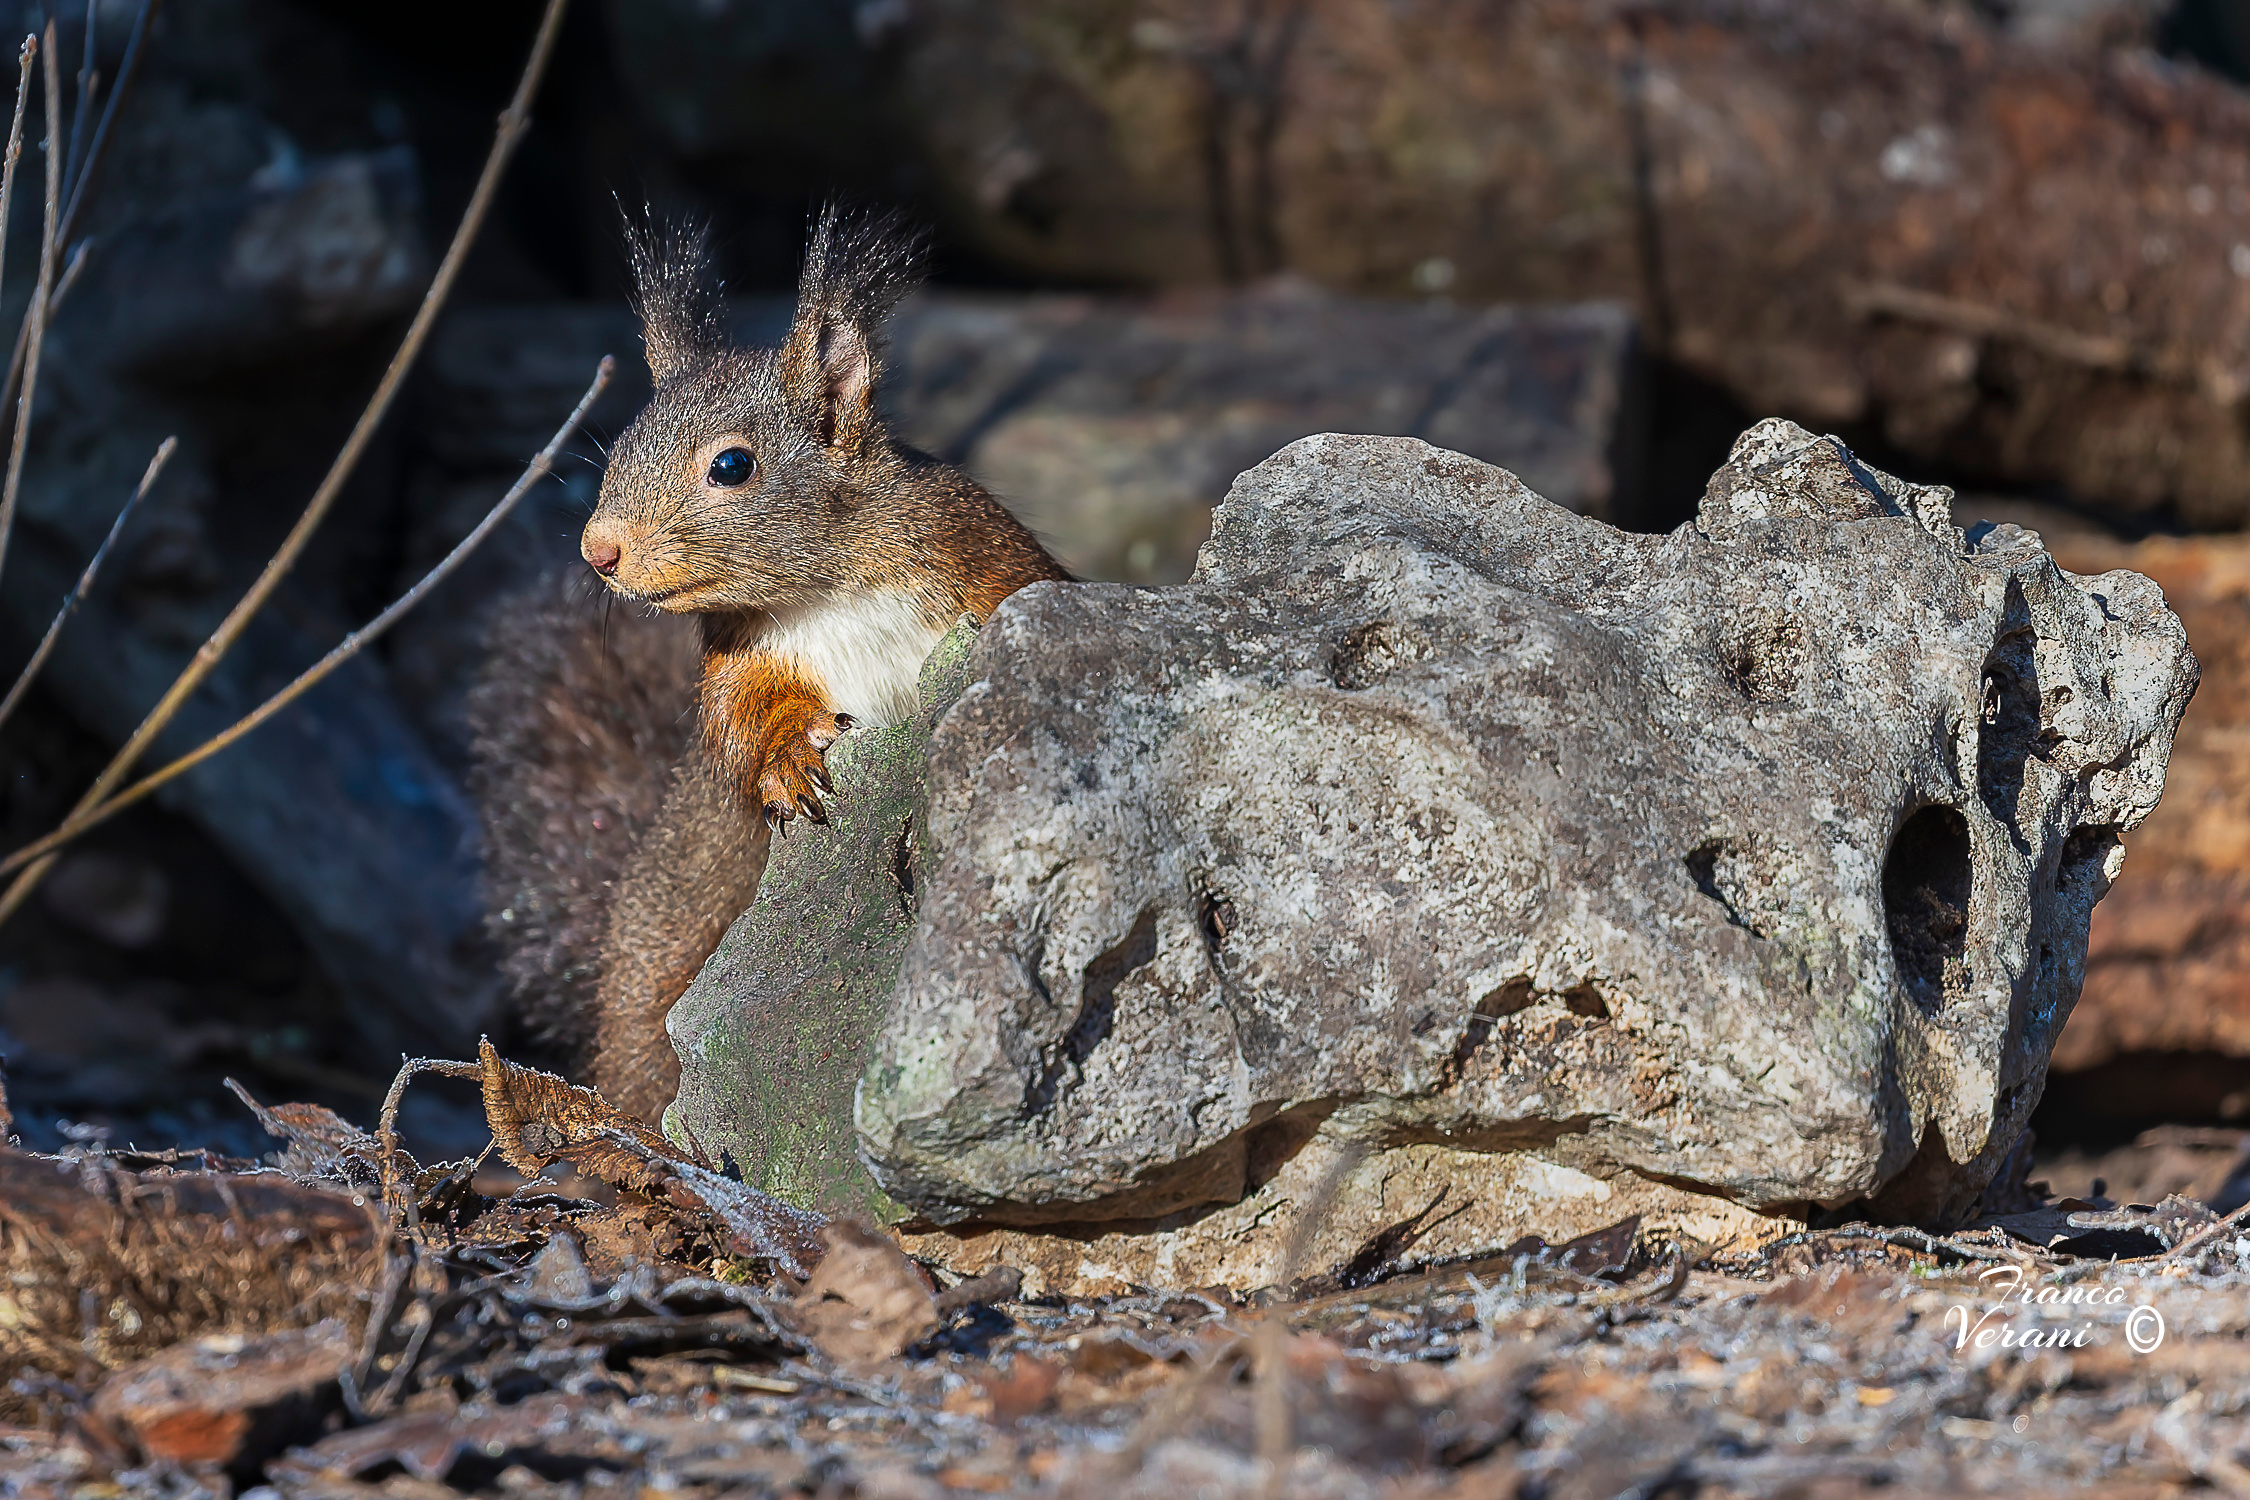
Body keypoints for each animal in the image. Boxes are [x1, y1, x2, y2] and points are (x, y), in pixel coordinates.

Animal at [470, 206, 1066, 1124]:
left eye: (732, 465)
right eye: (621, 448)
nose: (598, 552)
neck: (829, 590)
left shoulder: (978, 554)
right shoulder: (741, 659)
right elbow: (745, 721)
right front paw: (788, 758)